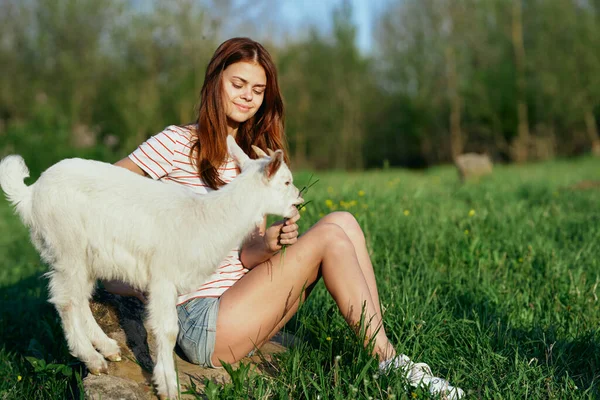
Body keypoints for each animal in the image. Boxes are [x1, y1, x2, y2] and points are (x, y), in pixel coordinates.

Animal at [0, 136, 302, 398]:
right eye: (286, 181)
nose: (299, 200)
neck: (207, 218)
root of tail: (30, 195)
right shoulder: (163, 277)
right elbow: (167, 330)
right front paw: (168, 387)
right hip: (66, 245)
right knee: (65, 301)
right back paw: (93, 359)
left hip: (85, 256)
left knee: (79, 297)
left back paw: (108, 348)